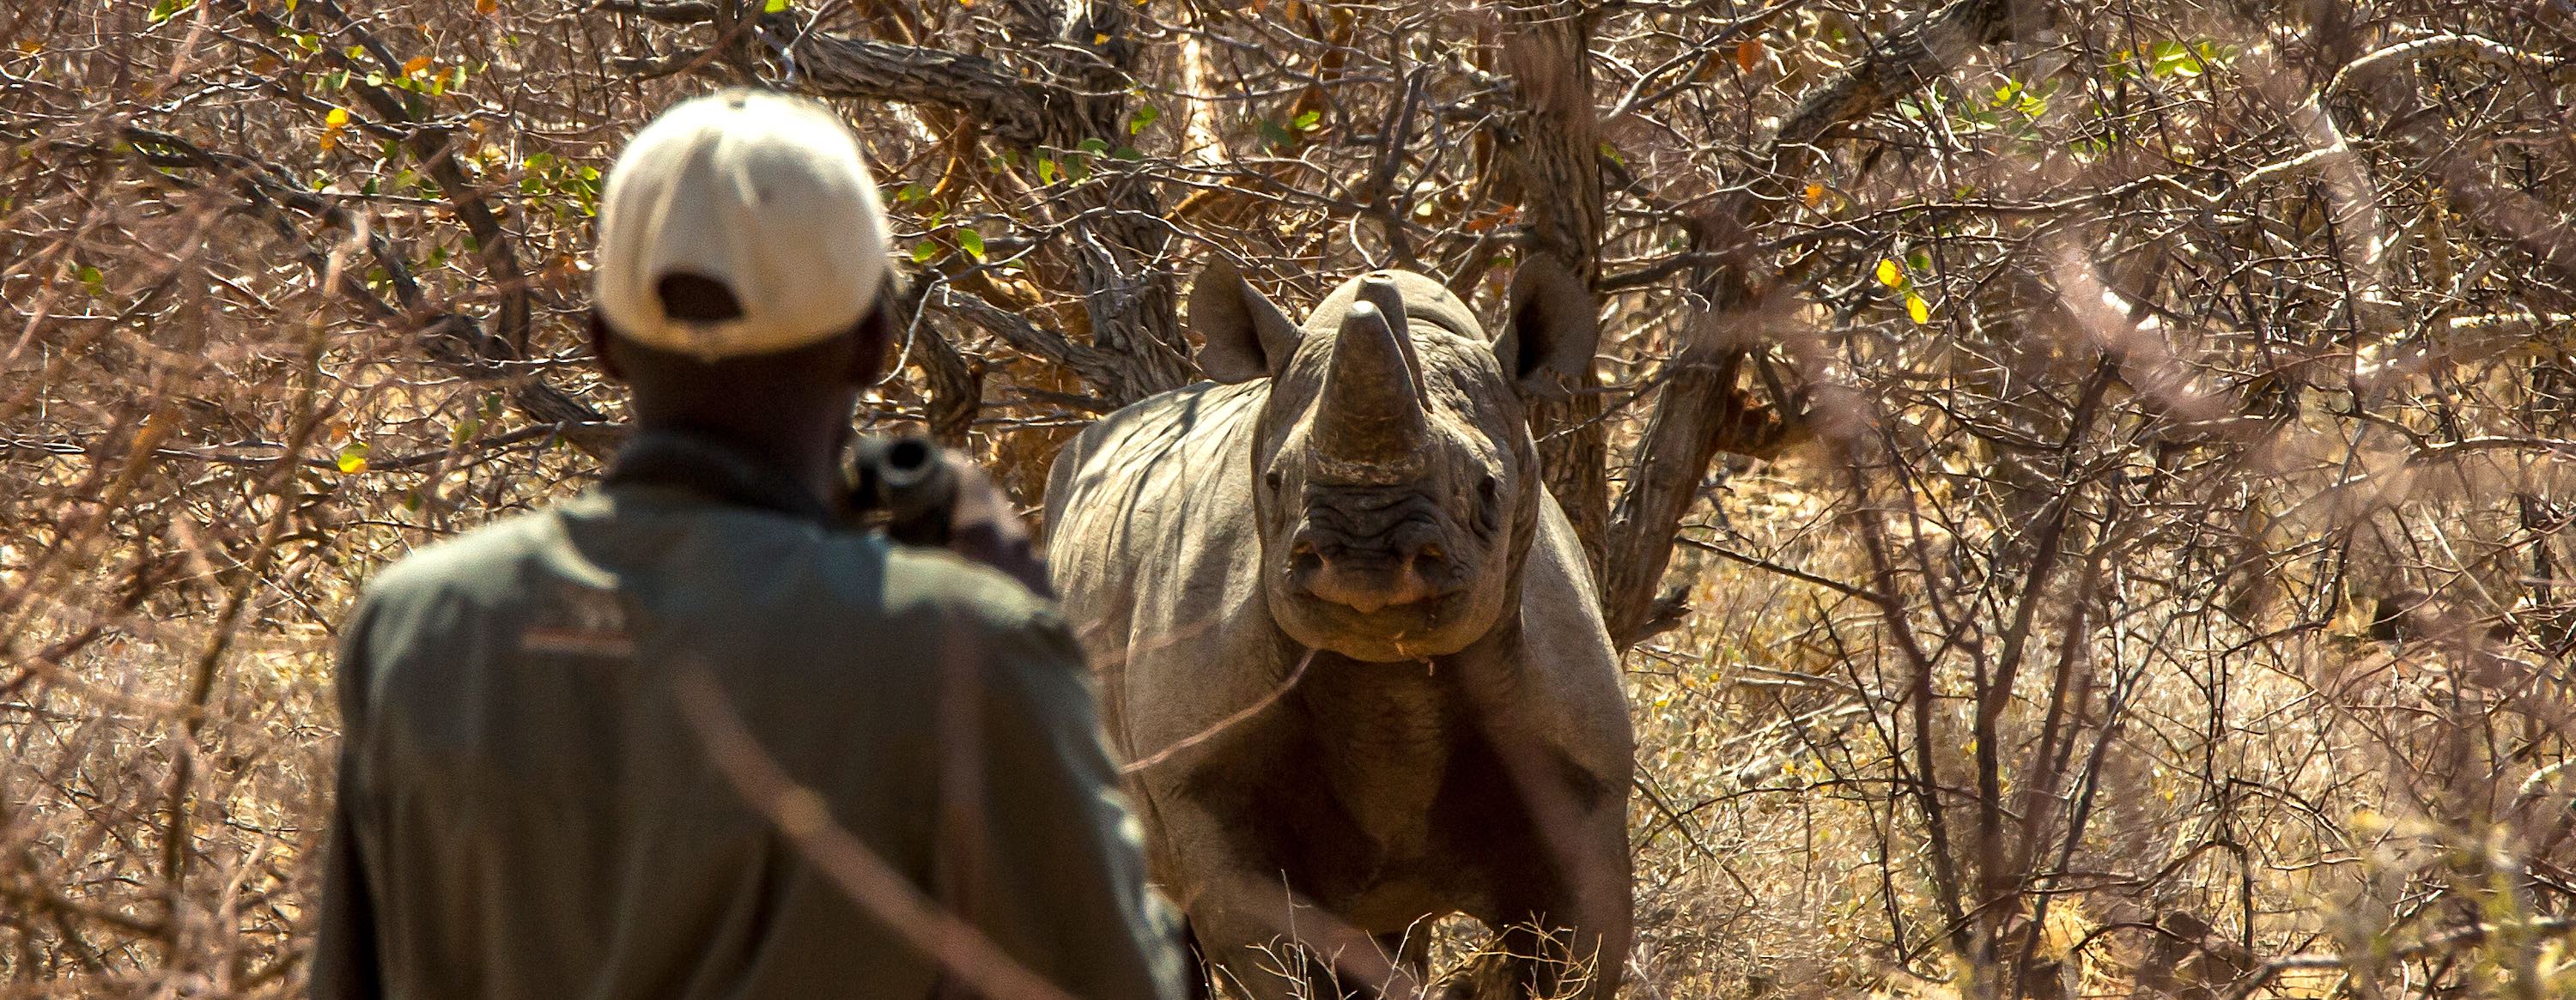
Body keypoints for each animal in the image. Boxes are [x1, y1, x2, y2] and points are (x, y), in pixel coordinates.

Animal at [1041, 261, 1628, 994]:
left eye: (1488, 486)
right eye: (1273, 480)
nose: (1363, 552)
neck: (1391, 679)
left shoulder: (1584, 786)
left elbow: (1573, 956)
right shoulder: (1204, 790)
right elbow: (1275, 954)